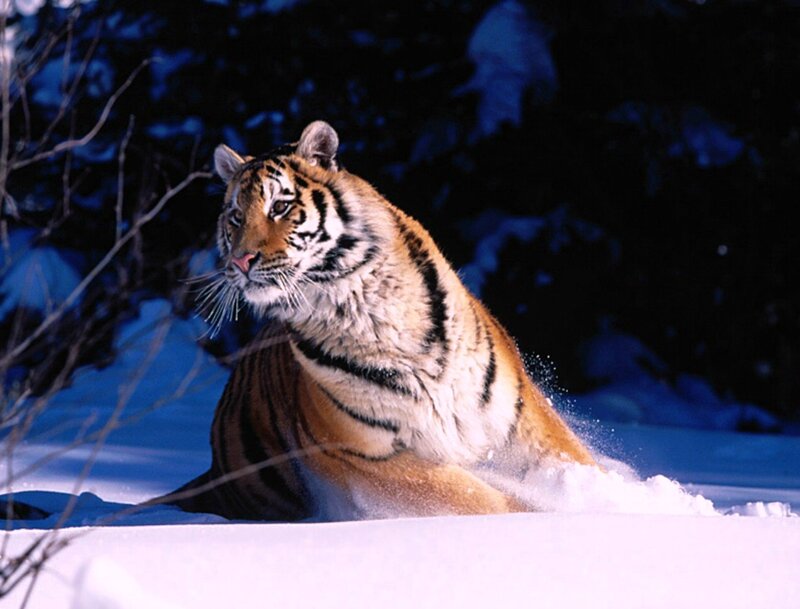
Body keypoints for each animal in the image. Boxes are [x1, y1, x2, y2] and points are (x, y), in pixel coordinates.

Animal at [172, 120, 596, 521]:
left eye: (279, 207)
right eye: (235, 217)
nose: (239, 261)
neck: (363, 303)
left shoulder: (516, 415)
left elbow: (571, 461)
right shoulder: (365, 455)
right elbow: (480, 498)